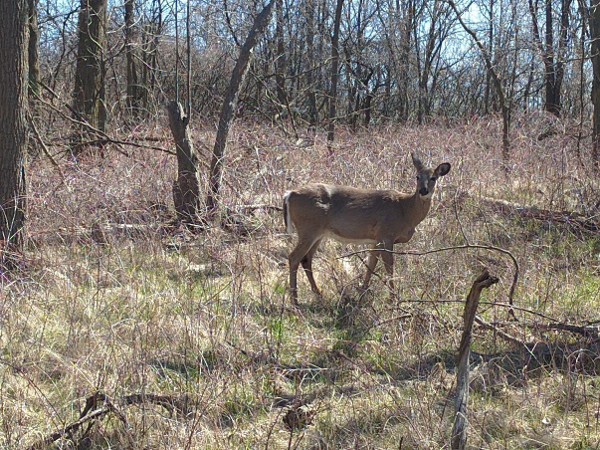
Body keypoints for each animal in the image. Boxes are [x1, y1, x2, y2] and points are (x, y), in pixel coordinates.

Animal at [282, 153, 450, 304]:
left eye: (433, 178)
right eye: (417, 176)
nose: (423, 191)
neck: (405, 211)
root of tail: (289, 194)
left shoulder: (376, 239)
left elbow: (370, 265)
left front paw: (362, 293)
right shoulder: (386, 234)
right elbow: (389, 267)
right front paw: (393, 299)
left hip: (318, 233)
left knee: (306, 259)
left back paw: (318, 295)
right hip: (308, 228)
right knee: (294, 257)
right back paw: (295, 301)